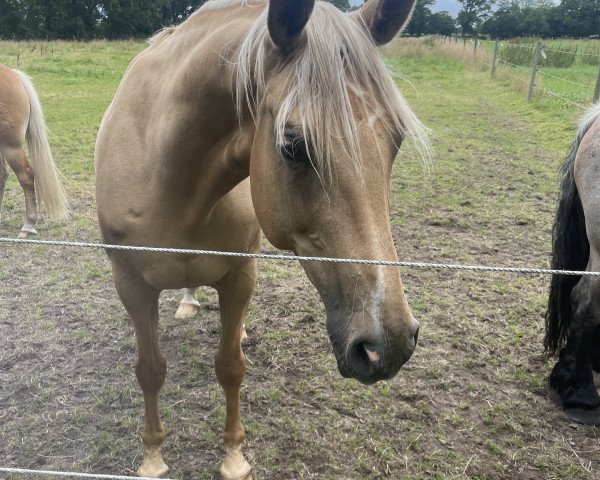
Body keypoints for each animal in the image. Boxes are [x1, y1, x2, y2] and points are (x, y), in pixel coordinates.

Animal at [95, 1, 432, 478]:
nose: (390, 344)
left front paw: (234, 458)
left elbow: (231, 368)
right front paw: (152, 458)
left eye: (396, 140)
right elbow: (150, 370)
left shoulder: (240, 275)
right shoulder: (130, 284)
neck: (167, 174)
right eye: (293, 146)